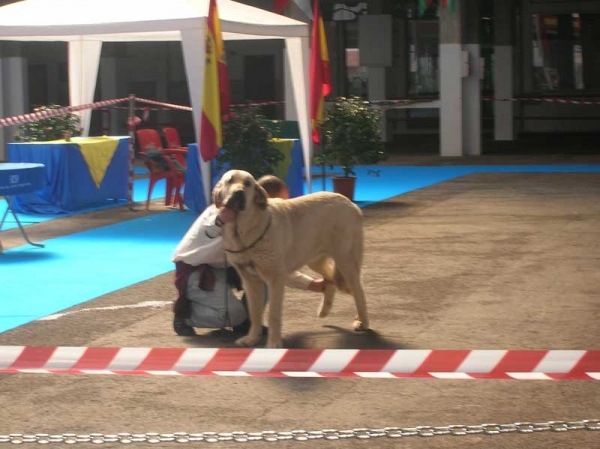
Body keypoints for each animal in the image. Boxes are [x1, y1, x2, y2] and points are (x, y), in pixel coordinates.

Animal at [213, 168, 368, 346]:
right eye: (230, 181)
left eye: (247, 184)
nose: (238, 193)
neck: (242, 229)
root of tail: (351, 204)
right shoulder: (251, 281)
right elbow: (255, 313)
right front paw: (252, 338)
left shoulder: (275, 279)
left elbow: (273, 315)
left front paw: (274, 344)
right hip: (315, 258)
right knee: (331, 280)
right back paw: (325, 309)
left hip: (345, 260)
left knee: (358, 289)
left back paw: (362, 321)